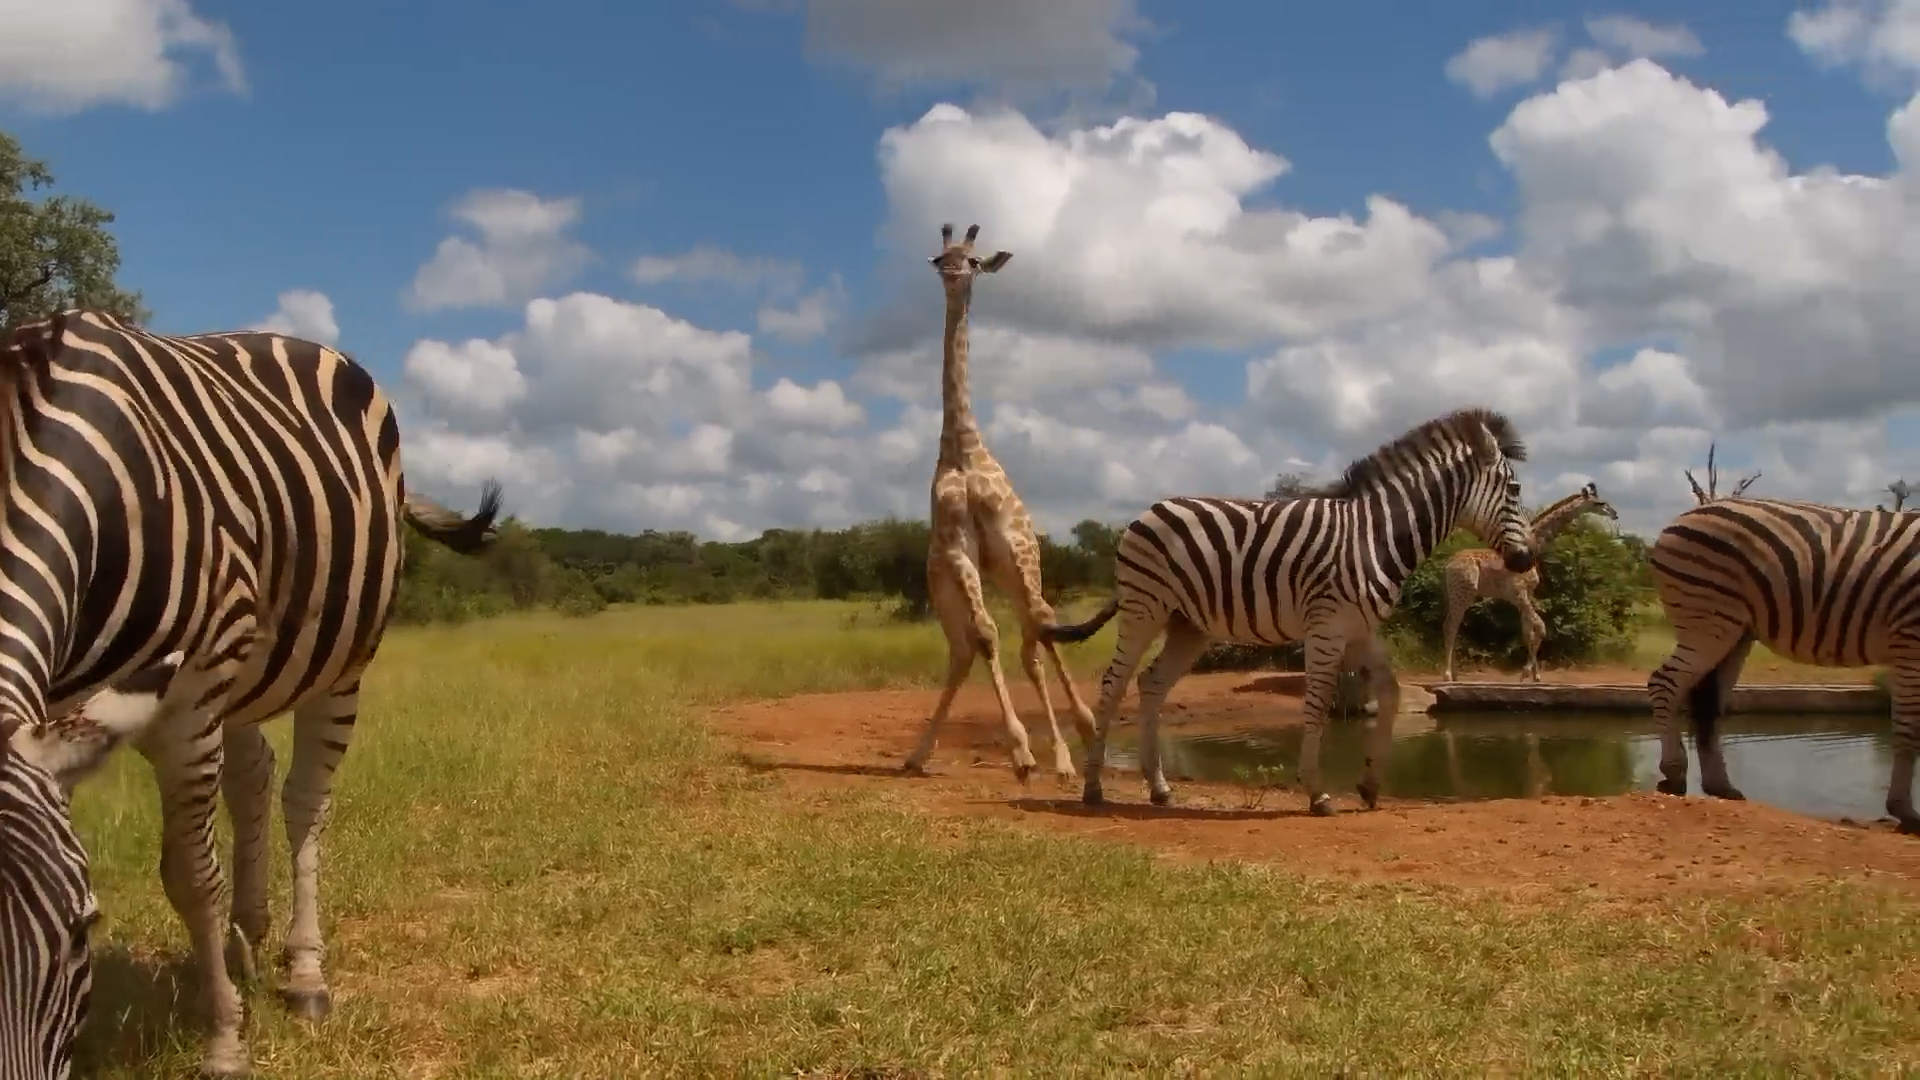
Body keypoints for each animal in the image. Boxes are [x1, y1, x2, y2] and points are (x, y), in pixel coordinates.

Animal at [902, 223, 1099, 785]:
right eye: (941, 256)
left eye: (972, 261)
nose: (950, 272)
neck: (963, 451)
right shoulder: (956, 548)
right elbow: (988, 637)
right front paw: (1020, 751)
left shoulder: (1009, 548)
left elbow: (1025, 637)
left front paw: (1031, 752)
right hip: (948, 589)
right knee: (968, 649)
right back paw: (918, 755)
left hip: (1021, 569)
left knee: (1039, 632)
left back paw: (1076, 745)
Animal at [1441, 482, 1619, 683]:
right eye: (1599, 503)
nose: (1614, 514)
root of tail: (1448, 565)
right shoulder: (1518, 593)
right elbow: (1540, 628)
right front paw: (1527, 673)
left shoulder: (1524, 596)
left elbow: (1528, 632)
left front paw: (1535, 675)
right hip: (1462, 592)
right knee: (1449, 626)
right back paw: (1447, 675)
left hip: (1462, 594)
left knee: (1453, 625)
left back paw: (1455, 675)